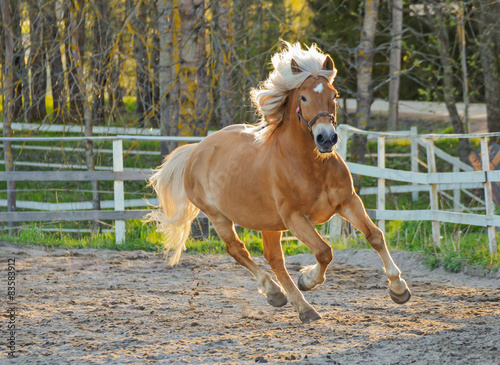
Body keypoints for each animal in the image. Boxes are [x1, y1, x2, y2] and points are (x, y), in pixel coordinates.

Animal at [146, 41, 412, 322]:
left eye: (334, 95)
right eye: (303, 97)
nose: (326, 139)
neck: (310, 166)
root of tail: (196, 150)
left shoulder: (348, 202)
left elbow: (375, 236)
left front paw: (399, 289)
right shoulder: (295, 218)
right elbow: (324, 251)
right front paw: (307, 279)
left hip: (268, 222)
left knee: (273, 258)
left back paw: (295, 303)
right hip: (219, 217)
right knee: (239, 250)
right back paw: (284, 297)